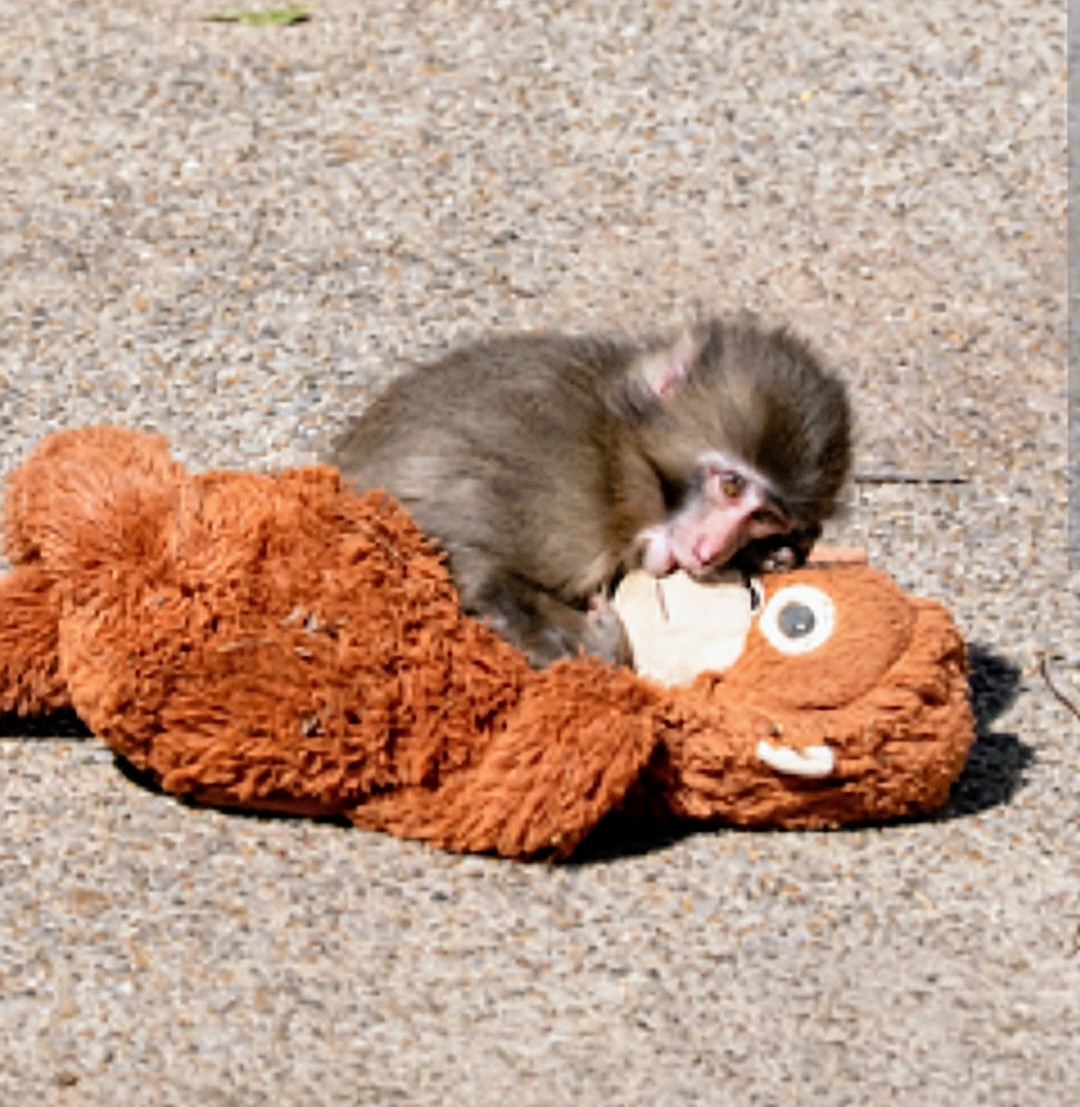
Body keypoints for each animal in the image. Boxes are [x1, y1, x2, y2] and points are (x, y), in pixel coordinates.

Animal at [328, 318, 851, 668]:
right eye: (731, 484)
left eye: (764, 517)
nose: (711, 550)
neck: (616, 463)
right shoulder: (559, 491)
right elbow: (453, 557)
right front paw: (592, 644)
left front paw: (769, 555)